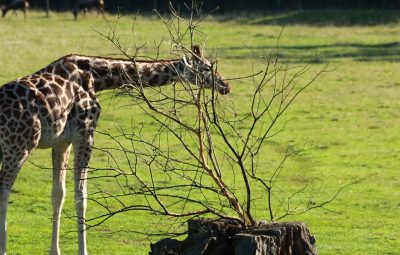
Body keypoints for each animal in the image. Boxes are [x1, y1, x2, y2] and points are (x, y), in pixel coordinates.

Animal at [0, 46, 231, 255]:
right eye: (207, 67)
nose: (226, 85)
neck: (97, 77)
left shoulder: (62, 141)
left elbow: (58, 194)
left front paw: (54, 251)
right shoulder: (85, 131)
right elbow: (81, 197)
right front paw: (83, 251)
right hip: (18, 147)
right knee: (3, 191)